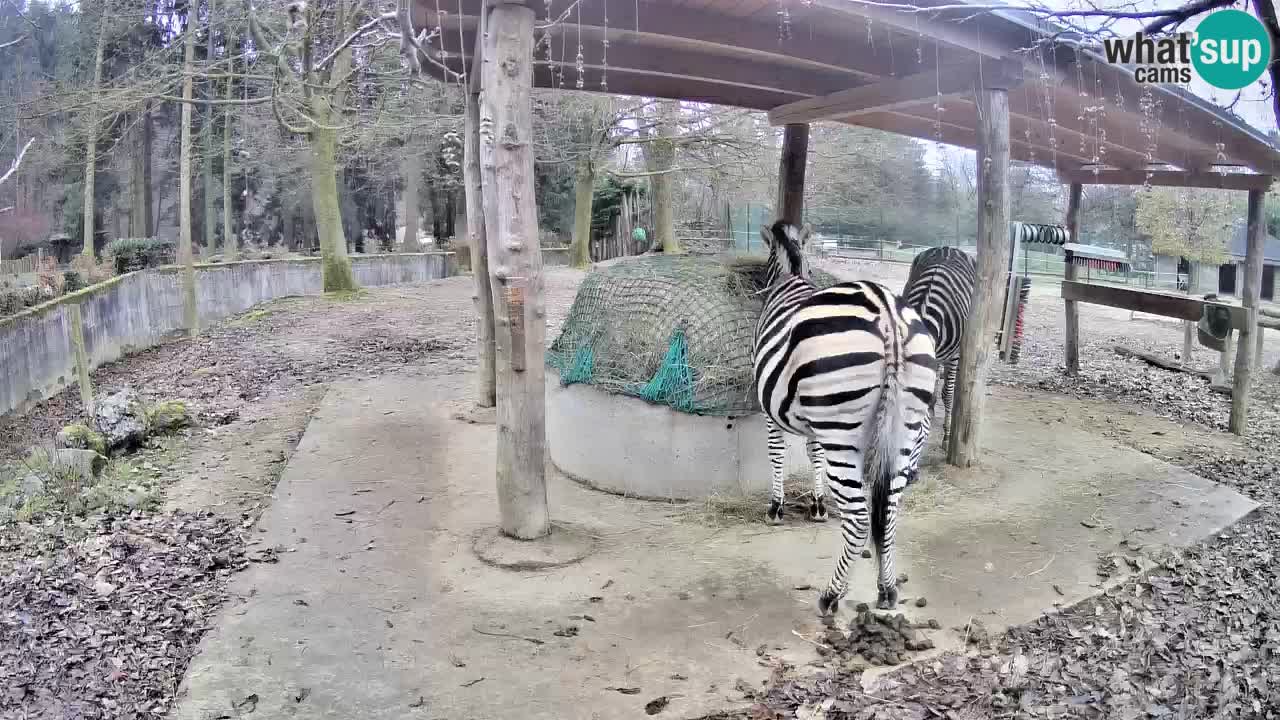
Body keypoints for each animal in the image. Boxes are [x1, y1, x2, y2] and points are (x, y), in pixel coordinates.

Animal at [747, 219, 942, 609]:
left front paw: (776, 508)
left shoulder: (770, 409)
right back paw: (887, 589)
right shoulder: (814, 420)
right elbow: (814, 455)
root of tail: (888, 313)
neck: (790, 275)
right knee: (888, 513)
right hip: (902, 430)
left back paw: (831, 595)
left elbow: (777, 454)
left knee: (859, 519)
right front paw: (818, 505)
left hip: (842, 432)